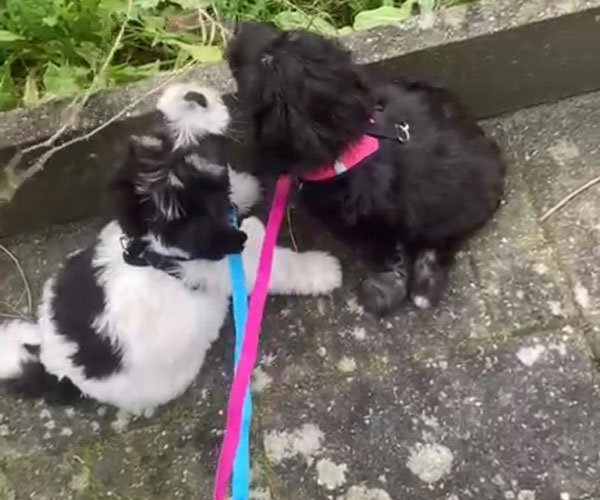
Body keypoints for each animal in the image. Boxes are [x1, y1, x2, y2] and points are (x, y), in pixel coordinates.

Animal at [0, 83, 342, 416]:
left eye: (159, 133)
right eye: (200, 151)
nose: (194, 97)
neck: (161, 250)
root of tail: (62, 371)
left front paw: (245, 188)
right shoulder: (243, 260)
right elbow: (281, 266)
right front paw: (324, 271)